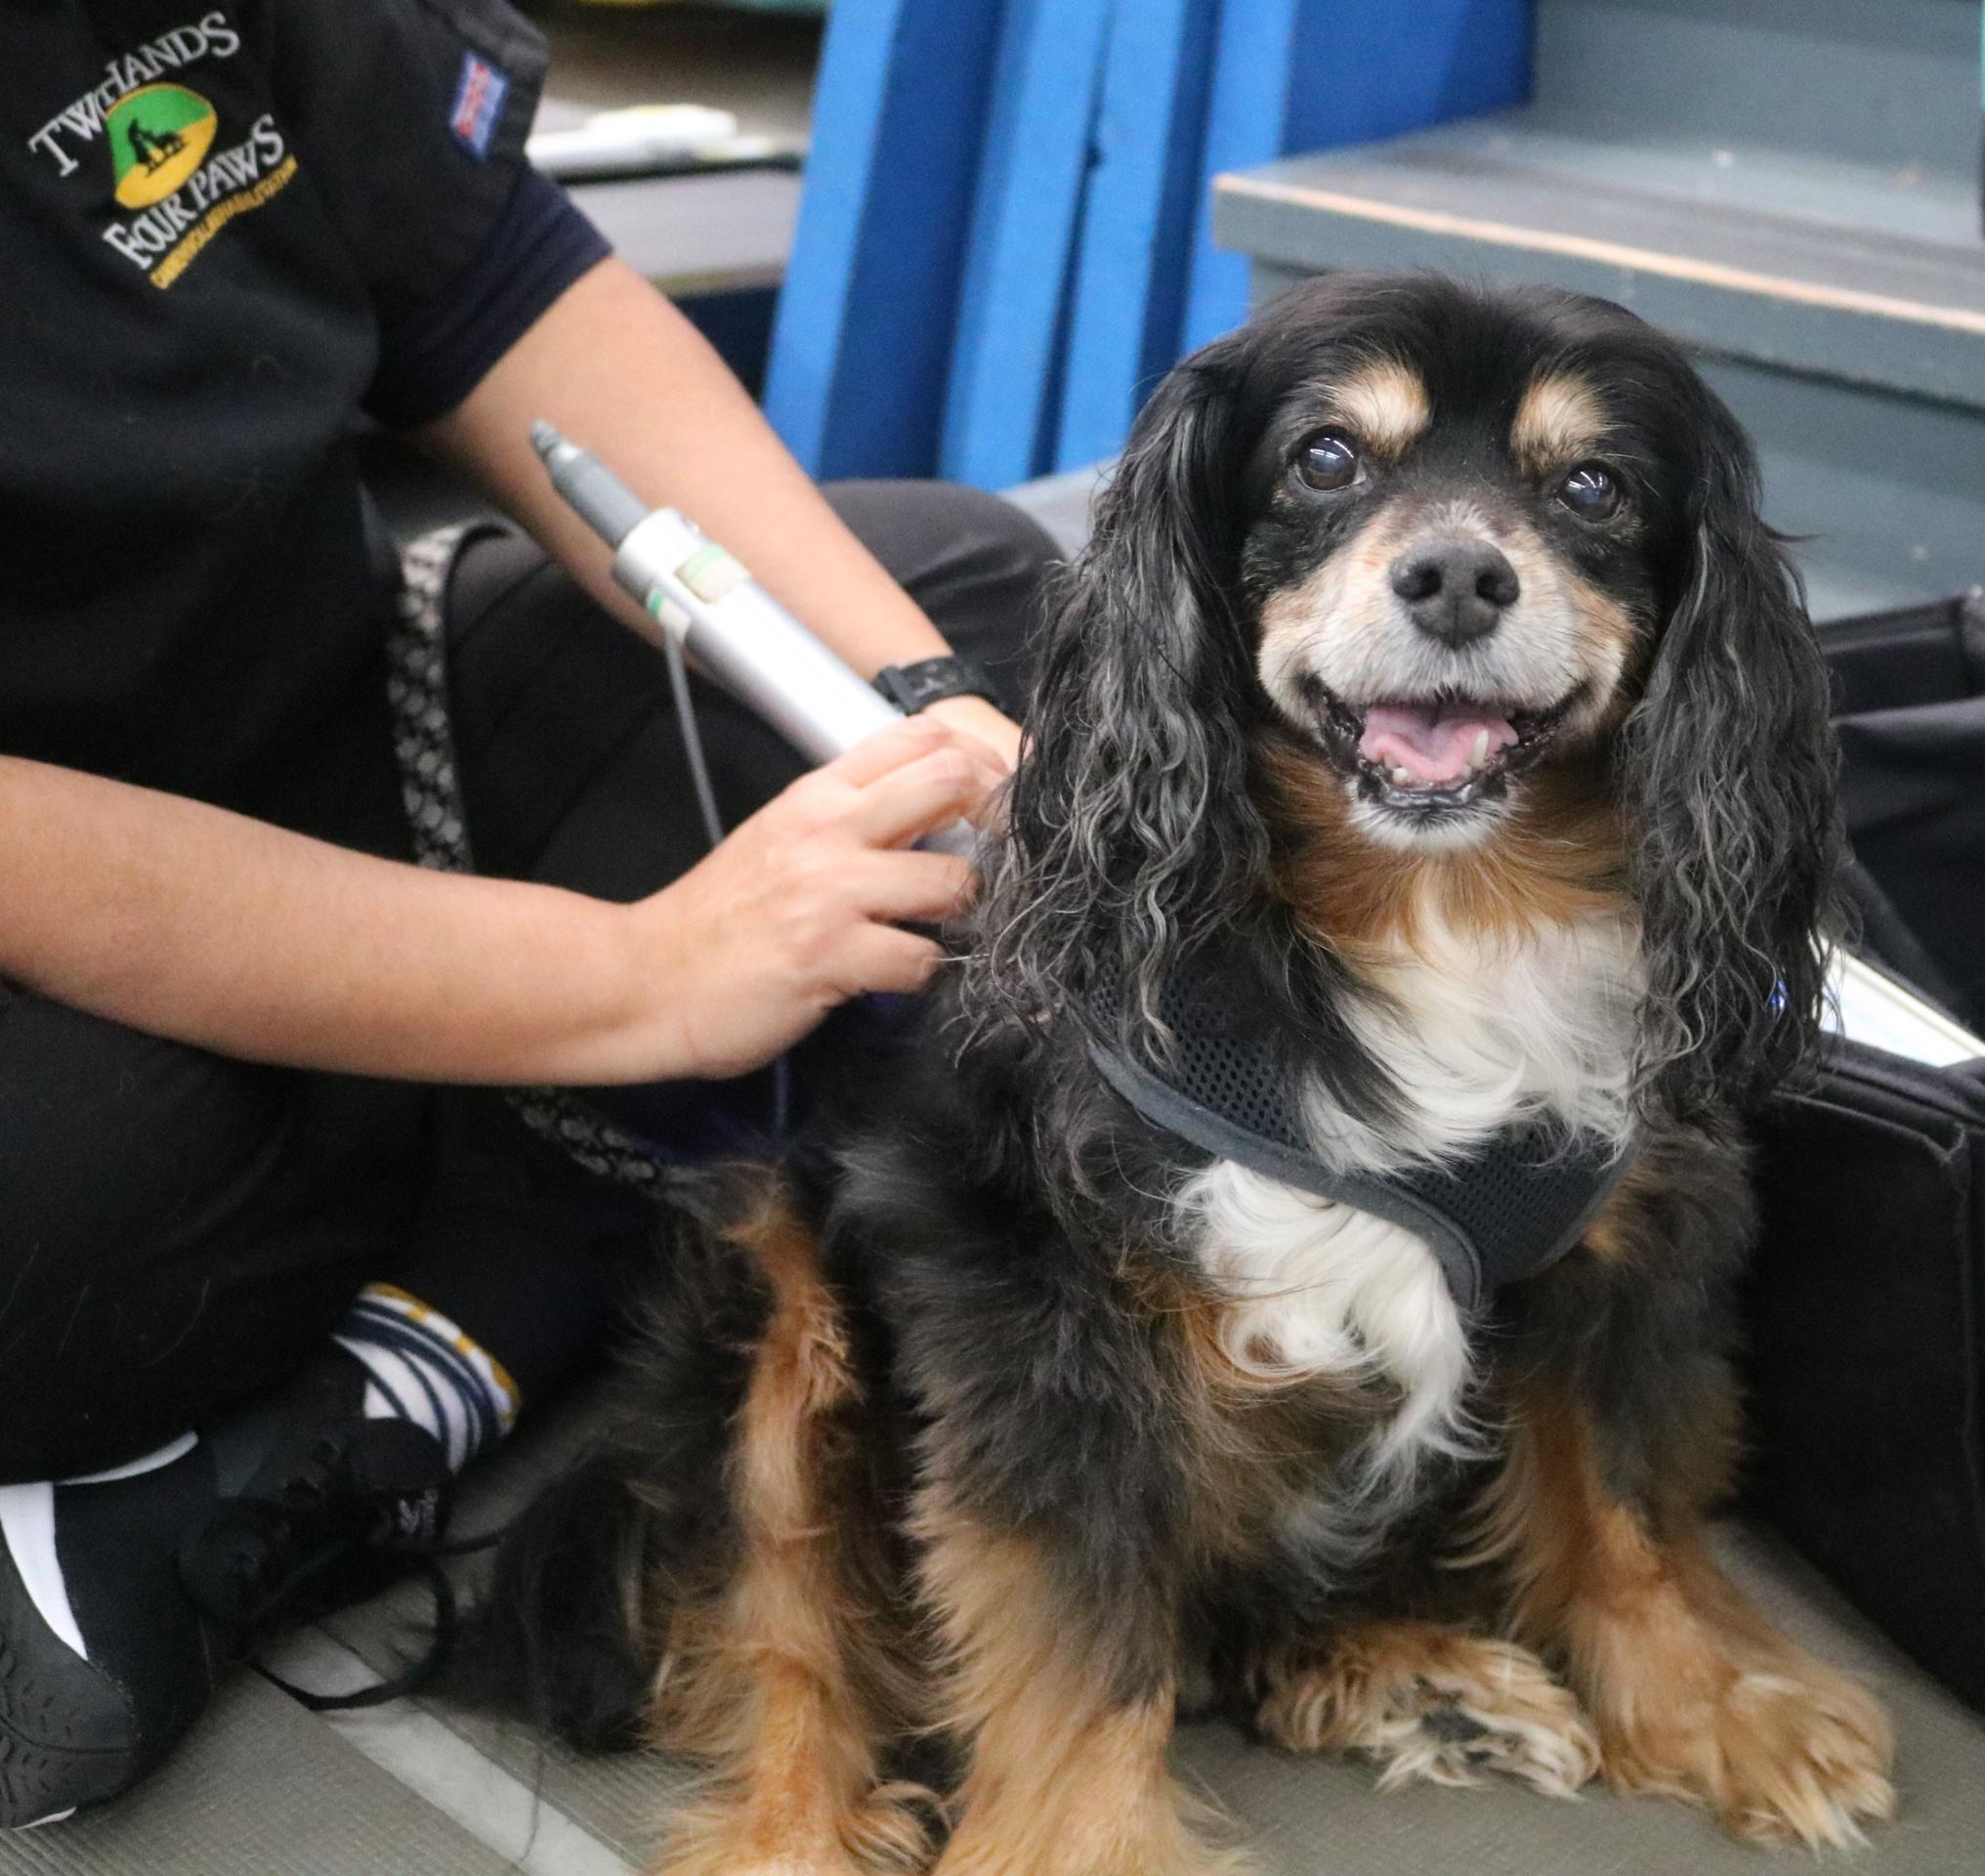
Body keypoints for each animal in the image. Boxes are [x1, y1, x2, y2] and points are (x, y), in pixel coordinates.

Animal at [484, 270, 1889, 1865]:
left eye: (1593, 486)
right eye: (1326, 459)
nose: (1460, 577)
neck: (1436, 910)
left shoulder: (1626, 1245)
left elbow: (1627, 1502)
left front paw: (1721, 1710)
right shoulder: (1040, 1310)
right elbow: (1080, 1640)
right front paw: (1087, 1847)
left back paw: (1413, 1680)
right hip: (775, 1282)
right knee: (785, 1635)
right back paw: (793, 1833)